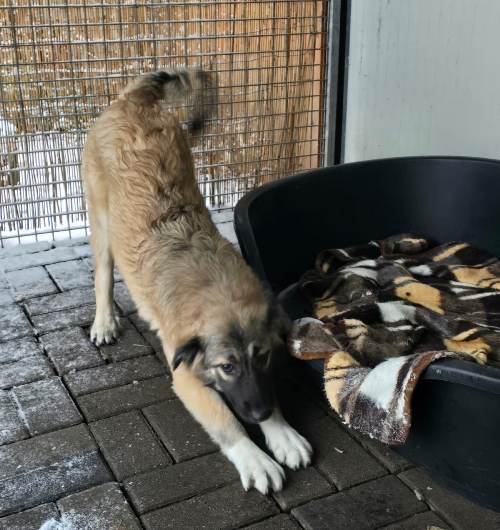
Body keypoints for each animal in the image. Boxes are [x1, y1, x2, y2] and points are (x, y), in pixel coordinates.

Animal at [82, 68, 312, 494]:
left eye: (263, 356)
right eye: (227, 367)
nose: (261, 414)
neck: (214, 283)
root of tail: (132, 101)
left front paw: (282, 432)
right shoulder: (185, 376)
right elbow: (225, 419)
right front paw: (255, 458)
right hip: (101, 222)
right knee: (103, 277)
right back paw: (104, 321)